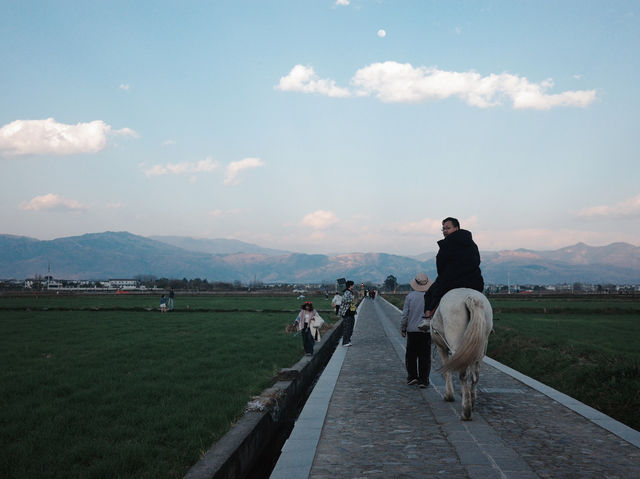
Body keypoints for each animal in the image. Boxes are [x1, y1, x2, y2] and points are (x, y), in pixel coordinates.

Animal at [428, 288, 492, 420]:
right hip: (479, 348)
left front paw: (449, 395)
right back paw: (471, 401)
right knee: (476, 375)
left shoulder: (442, 347)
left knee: (463, 374)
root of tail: (471, 297)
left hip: (455, 342)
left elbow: (446, 370)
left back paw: (466, 411)